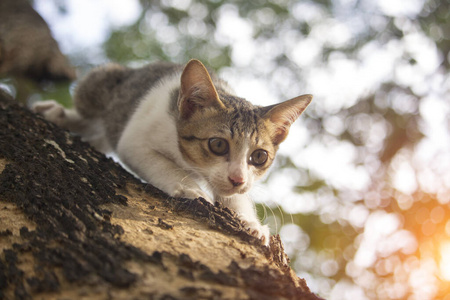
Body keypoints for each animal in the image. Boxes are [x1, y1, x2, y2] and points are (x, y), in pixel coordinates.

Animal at [32, 59, 312, 244]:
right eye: (218, 144)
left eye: (259, 157)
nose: (237, 178)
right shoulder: (136, 140)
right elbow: (159, 162)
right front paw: (190, 188)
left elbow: (236, 197)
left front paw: (250, 221)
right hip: (100, 83)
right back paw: (61, 115)